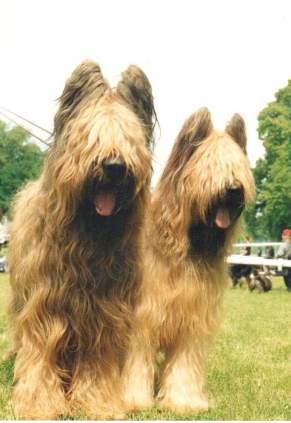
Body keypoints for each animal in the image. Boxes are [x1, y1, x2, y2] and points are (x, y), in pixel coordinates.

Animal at [8, 60, 156, 420]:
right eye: (91, 136)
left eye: (129, 138)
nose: (114, 167)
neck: (88, 239)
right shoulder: (44, 306)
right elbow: (39, 354)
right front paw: (38, 404)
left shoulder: (103, 312)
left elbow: (97, 361)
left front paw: (97, 403)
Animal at [122, 108, 256, 414]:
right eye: (210, 166)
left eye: (238, 167)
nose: (234, 189)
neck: (184, 248)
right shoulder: (140, 318)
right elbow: (135, 360)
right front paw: (132, 400)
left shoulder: (192, 321)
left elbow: (184, 364)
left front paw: (183, 402)